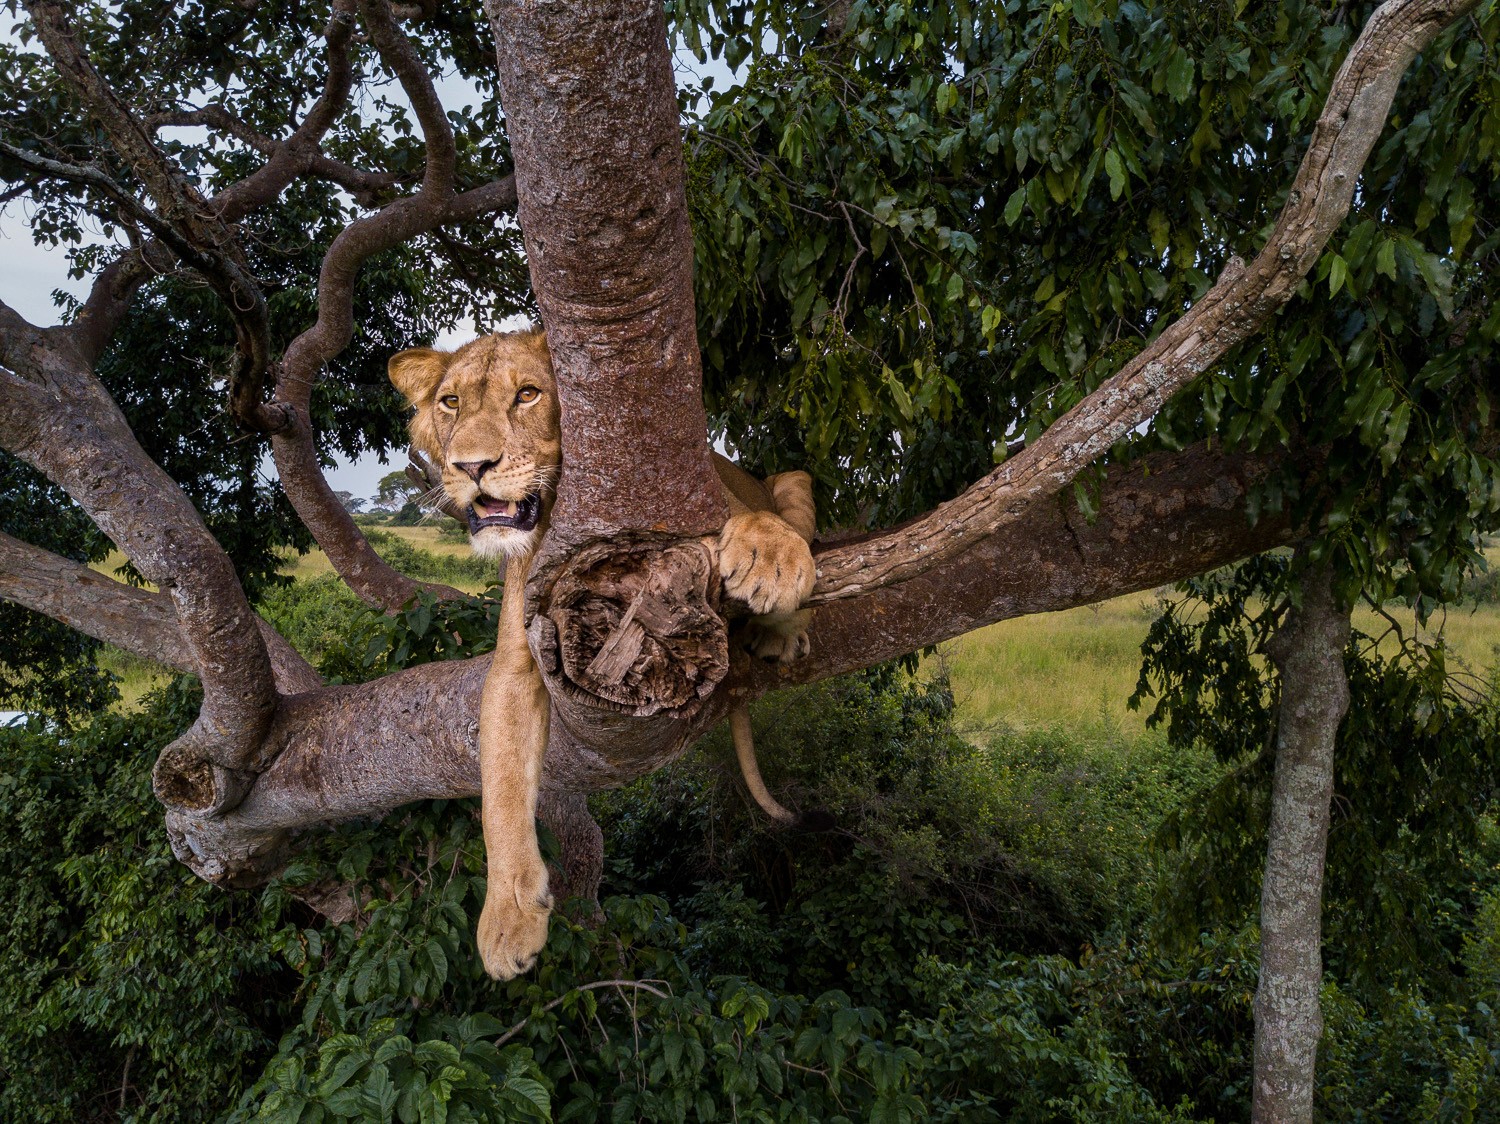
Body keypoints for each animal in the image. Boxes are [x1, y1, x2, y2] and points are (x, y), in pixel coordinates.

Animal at [388, 328, 817, 979]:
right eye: (451, 403)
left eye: (528, 394)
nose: (471, 467)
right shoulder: (513, 665)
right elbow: (500, 791)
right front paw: (508, 918)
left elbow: (748, 520)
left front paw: (770, 554)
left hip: (794, 477)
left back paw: (782, 626)